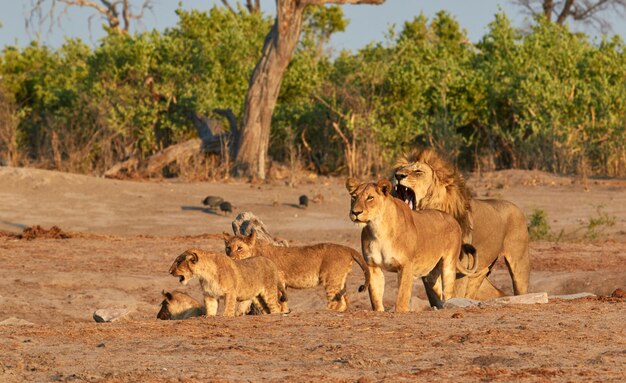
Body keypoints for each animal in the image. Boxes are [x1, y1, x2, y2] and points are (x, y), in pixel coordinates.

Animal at [222, 231, 368, 312]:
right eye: (228, 248)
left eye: (239, 248)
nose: (230, 257)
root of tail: (347, 248)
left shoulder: (277, 280)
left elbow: (277, 301)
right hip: (340, 280)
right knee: (345, 300)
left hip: (330, 279)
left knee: (337, 302)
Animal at [344, 178, 476, 312]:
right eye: (354, 197)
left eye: (370, 198)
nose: (355, 212)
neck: (377, 229)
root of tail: (453, 219)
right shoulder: (373, 266)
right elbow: (375, 295)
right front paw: (379, 310)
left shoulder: (406, 265)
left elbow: (402, 295)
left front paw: (400, 311)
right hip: (431, 274)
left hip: (448, 264)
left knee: (448, 292)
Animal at [392, 148, 528, 302]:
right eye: (399, 169)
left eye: (418, 171)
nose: (398, 175)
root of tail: (515, 206)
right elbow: (434, 295)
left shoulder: (459, 265)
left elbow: (454, 292)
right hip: (479, 272)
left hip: (519, 264)